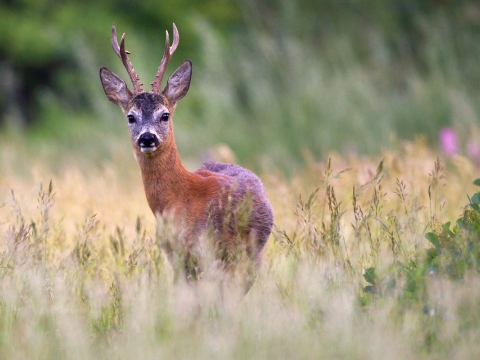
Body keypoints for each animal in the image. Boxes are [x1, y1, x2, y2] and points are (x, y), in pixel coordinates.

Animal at [99, 23, 272, 268]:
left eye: (165, 115)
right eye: (131, 117)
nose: (147, 138)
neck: (183, 199)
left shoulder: (215, 252)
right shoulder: (176, 256)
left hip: (250, 254)